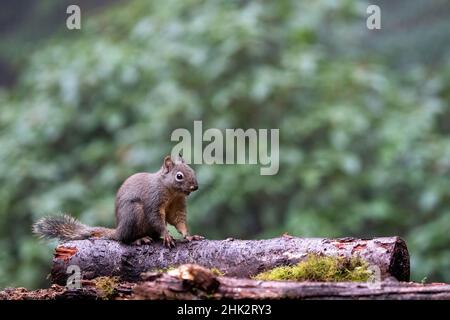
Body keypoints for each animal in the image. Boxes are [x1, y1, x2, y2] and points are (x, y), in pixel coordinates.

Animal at [33, 155, 204, 248]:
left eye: (193, 171)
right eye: (179, 176)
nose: (195, 187)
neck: (171, 192)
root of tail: (118, 230)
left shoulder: (177, 205)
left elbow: (178, 220)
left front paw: (189, 236)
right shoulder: (153, 199)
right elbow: (156, 218)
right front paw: (167, 235)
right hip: (133, 213)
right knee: (125, 239)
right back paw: (138, 239)